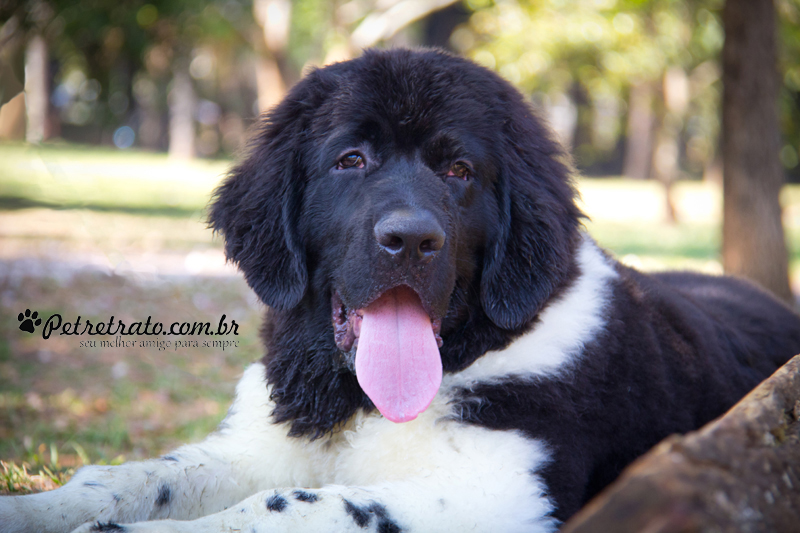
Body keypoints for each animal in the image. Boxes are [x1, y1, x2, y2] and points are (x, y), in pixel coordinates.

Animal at [4, 46, 800, 532]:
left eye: (459, 170)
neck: (354, 400)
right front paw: (36, 511)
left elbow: (287, 508)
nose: (411, 240)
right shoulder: (260, 442)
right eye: (351, 159)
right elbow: (135, 475)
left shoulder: (503, 493)